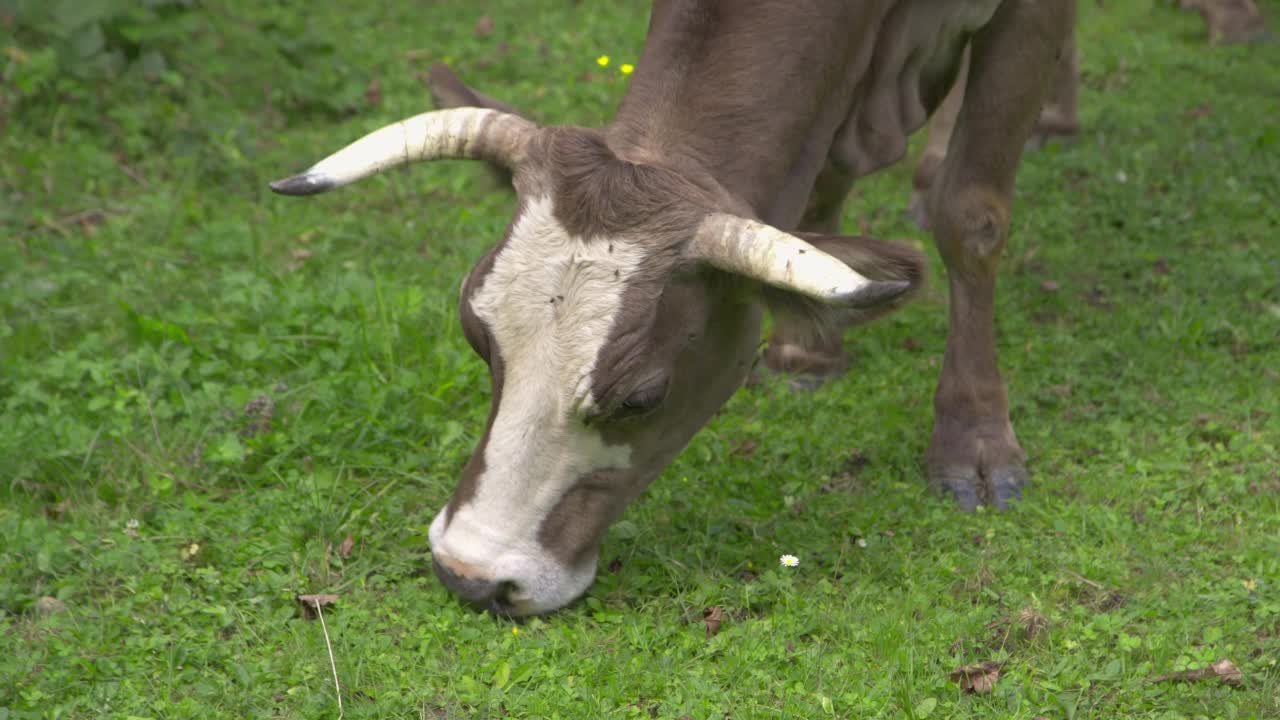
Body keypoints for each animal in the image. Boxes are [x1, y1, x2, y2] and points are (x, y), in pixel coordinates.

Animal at [275, 1, 1075, 617]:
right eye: (478, 337)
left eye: (641, 397)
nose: (469, 575)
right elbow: (827, 171)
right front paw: (807, 350)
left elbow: (970, 215)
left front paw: (974, 439)